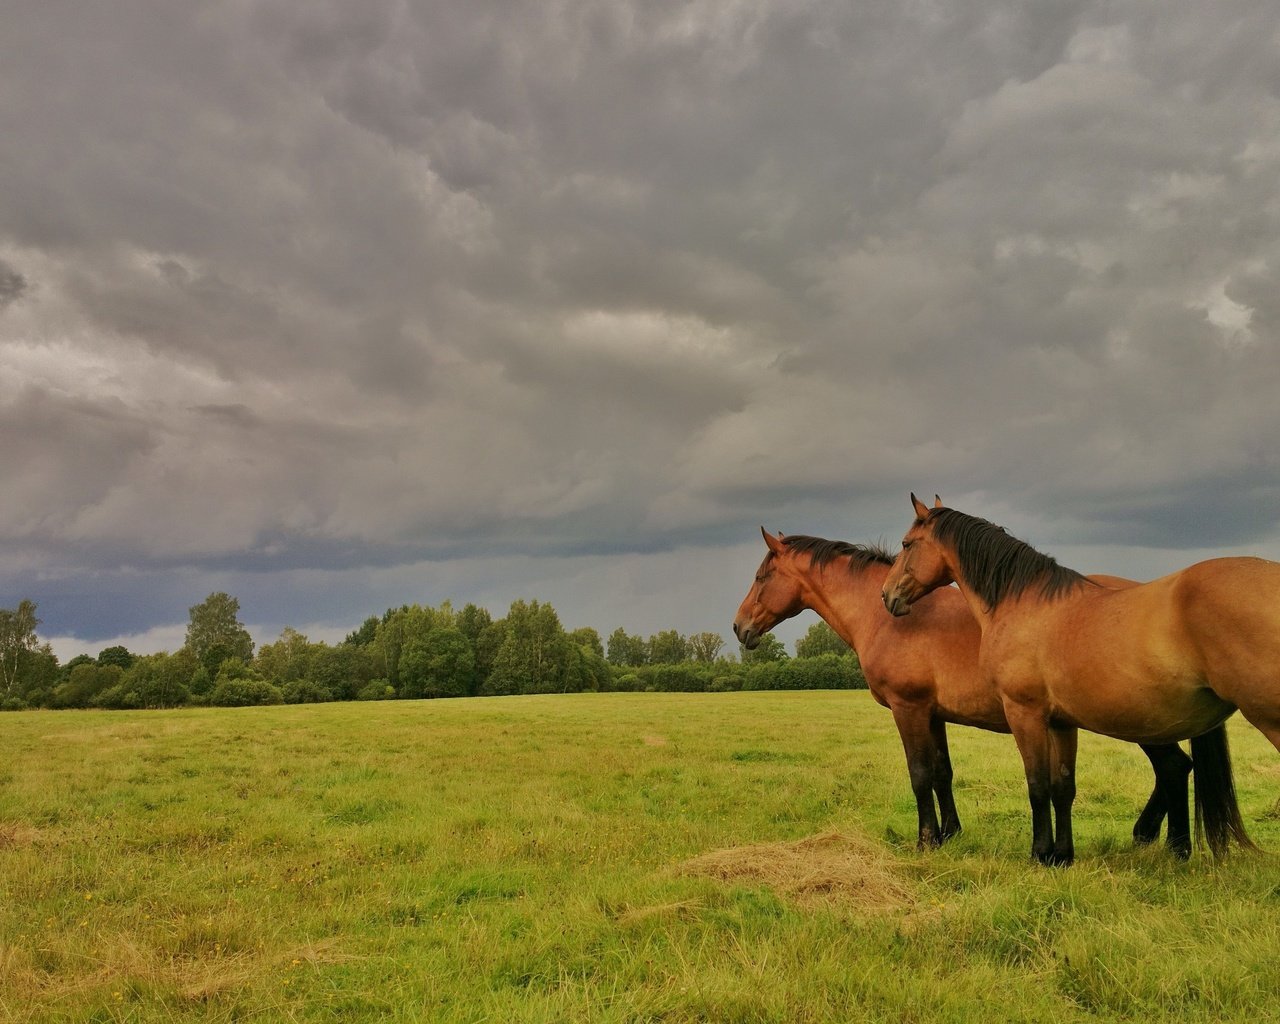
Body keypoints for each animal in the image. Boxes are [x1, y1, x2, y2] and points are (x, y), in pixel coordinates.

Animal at [732, 527, 1198, 855]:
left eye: (761, 575)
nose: (739, 627)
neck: (888, 617)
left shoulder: (908, 708)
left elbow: (920, 774)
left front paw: (925, 841)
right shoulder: (933, 714)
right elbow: (942, 772)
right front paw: (949, 834)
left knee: (1174, 767)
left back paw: (1167, 844)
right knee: (1176, 768)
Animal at [880, 496, 1259, 865]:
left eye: (907, 543)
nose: (887, 595)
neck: (1022, 605)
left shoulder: (1024, 713)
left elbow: (1037, 785)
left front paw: (1039, 854)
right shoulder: (1060, 721)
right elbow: (1062, 786)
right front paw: (1061, 855)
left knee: (1173, 767)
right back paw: (1173, 847)